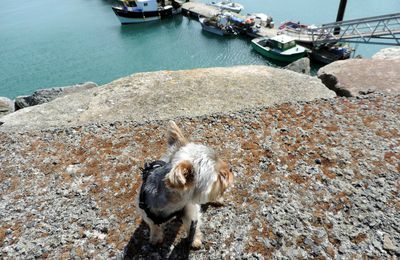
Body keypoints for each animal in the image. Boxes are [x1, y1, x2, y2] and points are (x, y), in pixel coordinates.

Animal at [136, 121, 233, 249]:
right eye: (220, 176)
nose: (230, 169)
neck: (173, 203)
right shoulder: (146, 213)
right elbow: (154, 226)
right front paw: (155, 238)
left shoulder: (190, 209)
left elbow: (192, 226)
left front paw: (194, 240)